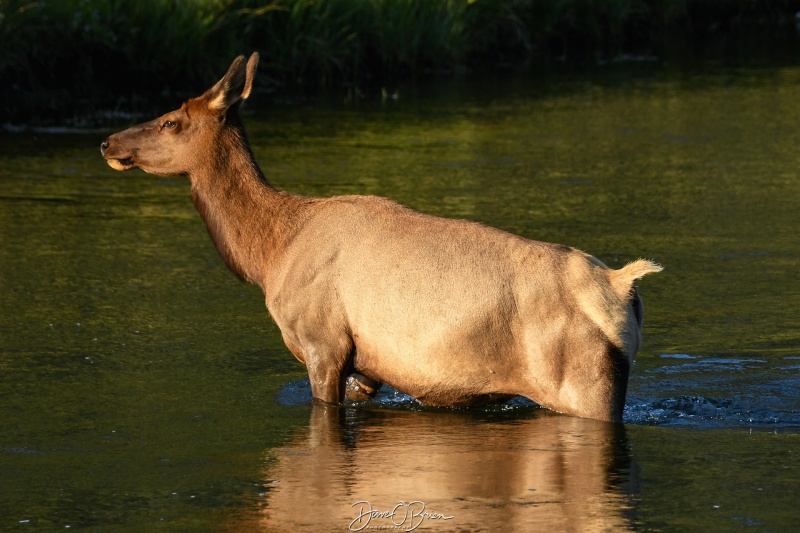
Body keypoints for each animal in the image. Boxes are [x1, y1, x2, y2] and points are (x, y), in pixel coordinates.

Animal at [101, 53, 664, 420]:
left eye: (171, 121)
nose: (108, 141)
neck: (268, 253)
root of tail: (623, 287)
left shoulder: (323, 341)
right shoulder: (366, 367)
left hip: (585, 384)